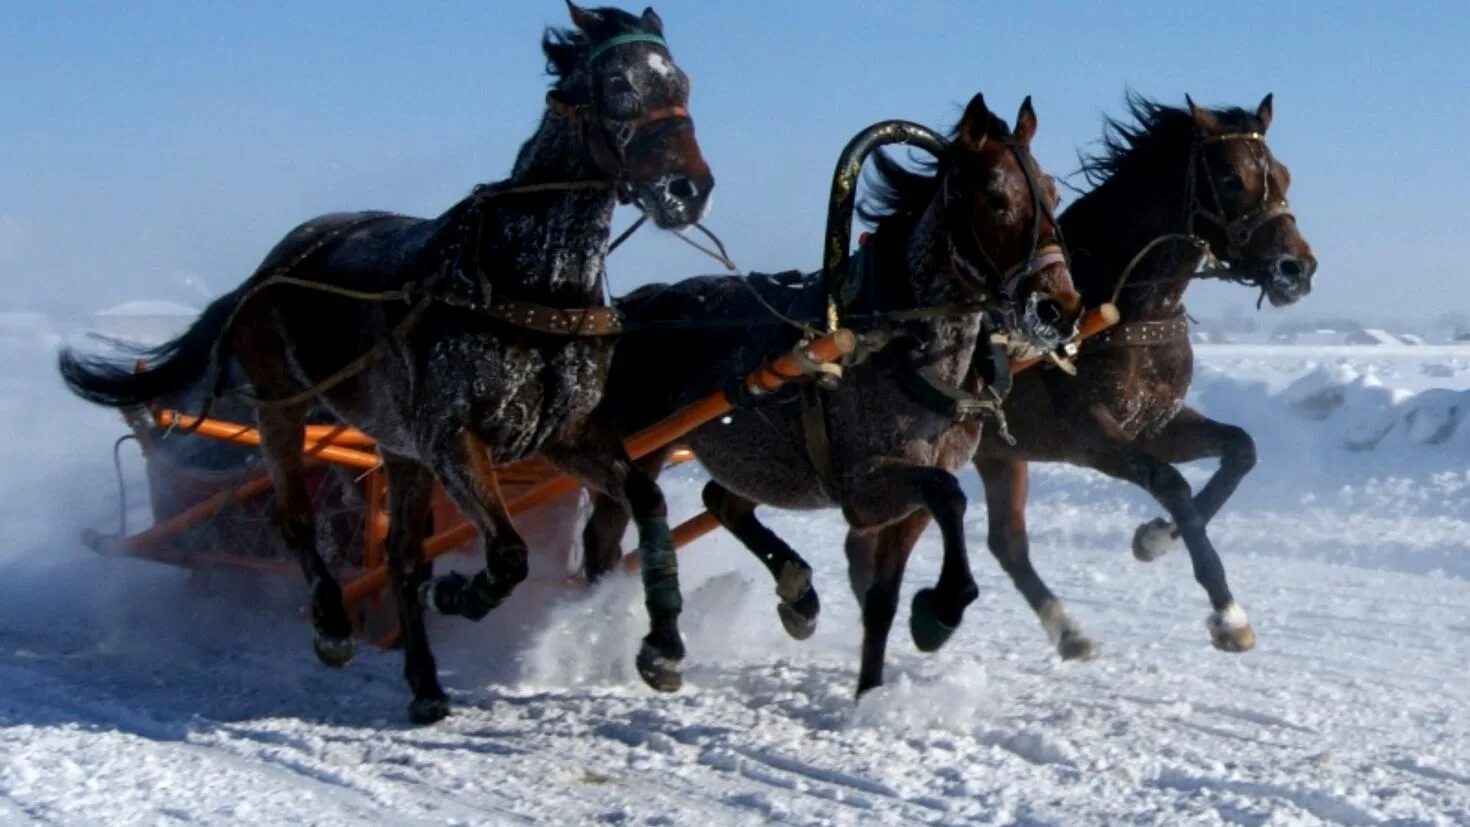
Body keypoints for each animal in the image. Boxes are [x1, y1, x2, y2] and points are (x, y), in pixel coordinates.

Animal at [60, 3, 714, 722]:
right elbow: (508, 554)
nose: (688, 189)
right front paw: (458, 593)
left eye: (681, 82)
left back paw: (425, 684)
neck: (530, 285)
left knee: (400, 555)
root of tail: (271, 266)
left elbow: (646, 496)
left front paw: (662, 645)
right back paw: (334, 626)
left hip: (398, 450)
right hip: (286, 409)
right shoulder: (452, 435)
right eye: (619, 83)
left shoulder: (562, 432)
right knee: (297, 519)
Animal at [582, 94, 1081, 696]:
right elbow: (950, 498)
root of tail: (631, 309)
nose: (1059, 308)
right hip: (638, 446)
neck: (896, 343)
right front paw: (938, 612)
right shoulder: (866, 488)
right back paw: (632, 637)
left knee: (719, 501)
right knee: (609, 535)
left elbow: (885, 595)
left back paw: (797, 593)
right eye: (994, 195)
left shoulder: (906, 496)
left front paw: (872, 689)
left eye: (1053, 193)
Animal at [846, 92, 1317, 661]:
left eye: (1284, 175)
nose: (1297, 269)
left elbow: (1240, 450)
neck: (1119, 308)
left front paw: (1154, 539)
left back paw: (1067, 631)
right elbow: (1171, 483)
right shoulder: (1089, 435)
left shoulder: (1155, 424)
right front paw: (1228, 613)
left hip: (999, 453)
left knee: (1004, 543)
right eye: (1231, 179)